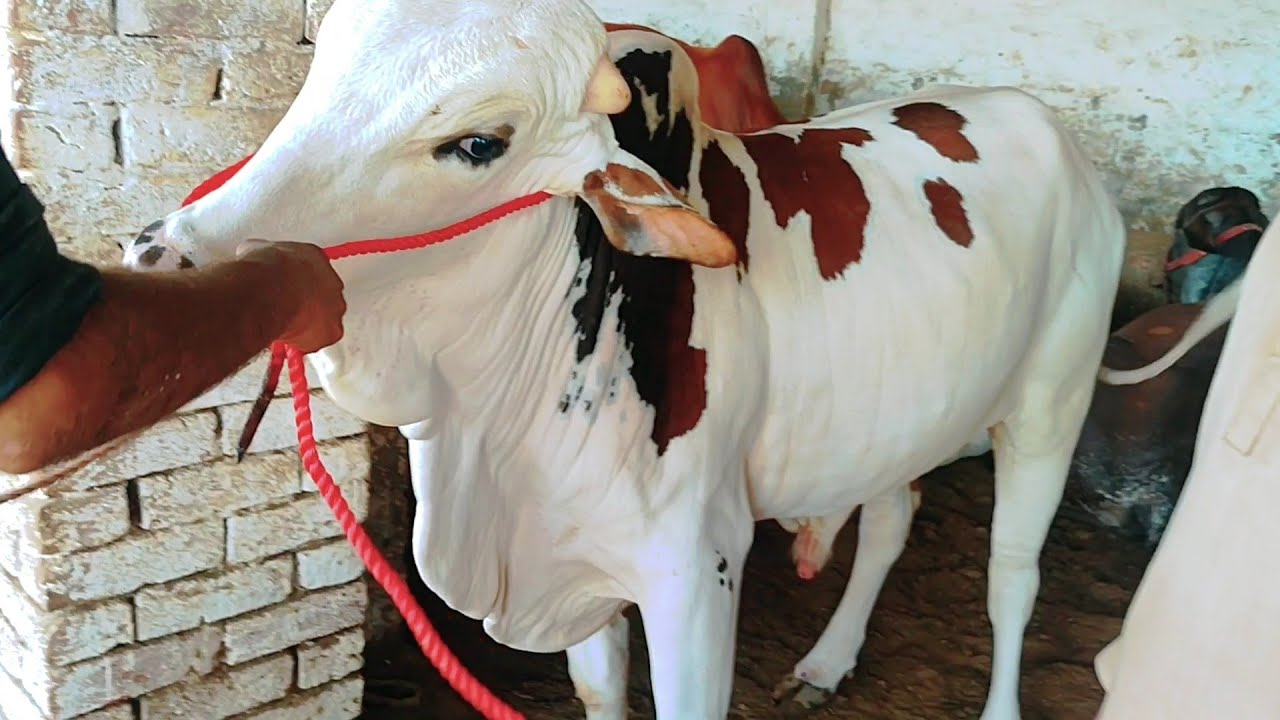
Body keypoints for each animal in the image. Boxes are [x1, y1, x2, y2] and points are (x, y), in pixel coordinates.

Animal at [119, 2, 1126, 718]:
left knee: (1011, 578)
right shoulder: (582, 566)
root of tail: (1048, 128)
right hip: (907, 413)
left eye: (479, 142)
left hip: (1051, 407)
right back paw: (827, 662)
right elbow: (599, 692)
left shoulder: (698, 572)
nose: (164, 251)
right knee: (889, 520)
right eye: (319, 72)